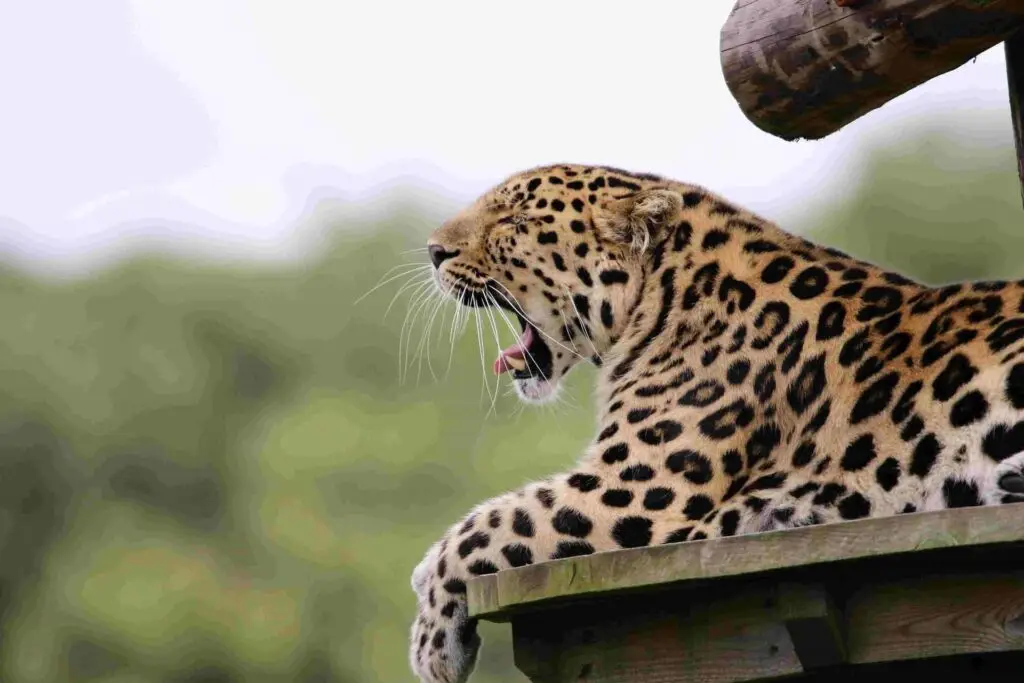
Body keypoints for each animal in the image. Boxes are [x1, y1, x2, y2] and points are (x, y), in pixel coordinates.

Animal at [403, 163, 1024, 683]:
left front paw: (432, 641)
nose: (433, 251)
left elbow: (487, 523)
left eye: (515, 220)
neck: (663, 299)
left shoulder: (635, 490)